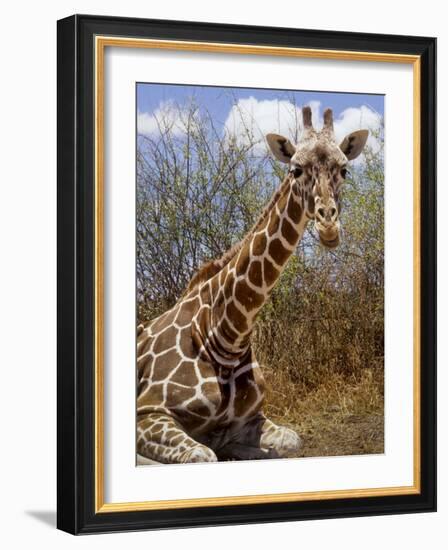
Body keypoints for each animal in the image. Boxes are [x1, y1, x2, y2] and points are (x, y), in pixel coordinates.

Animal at [136, 106, 368, 466]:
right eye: (296, 169)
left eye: (343, 170)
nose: (328, 225)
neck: (225, 333)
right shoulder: (148, 412)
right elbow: (201, 455)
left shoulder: (249, 419)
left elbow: (290, 442)